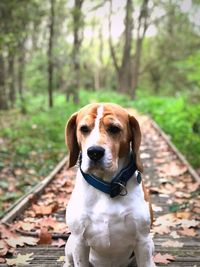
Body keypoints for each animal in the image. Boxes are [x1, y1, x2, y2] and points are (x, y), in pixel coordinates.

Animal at [64, 103, 155, 267]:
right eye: (84, 128)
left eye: (114, 128)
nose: (94, 152)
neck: (107, 187)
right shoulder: (79, 241)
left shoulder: (143, 241)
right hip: (70, 242)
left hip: (150, 243)